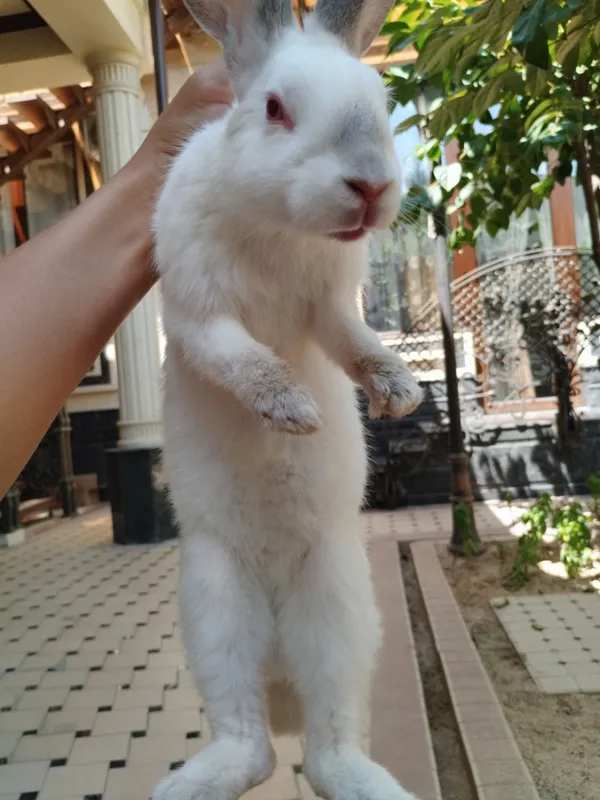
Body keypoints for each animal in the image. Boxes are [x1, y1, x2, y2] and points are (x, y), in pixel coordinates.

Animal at [152, 0, 424, 798]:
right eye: (275, 108)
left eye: (381, 103)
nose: (371, 187)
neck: (276, 224)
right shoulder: (196, 315)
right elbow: (241, 360)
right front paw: (293, 410)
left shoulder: (331, 310)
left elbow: (355, 343)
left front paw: (400, 392)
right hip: (215, 603)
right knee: (252, 746)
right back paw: (186, 783)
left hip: (339, 604)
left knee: (326, 746)